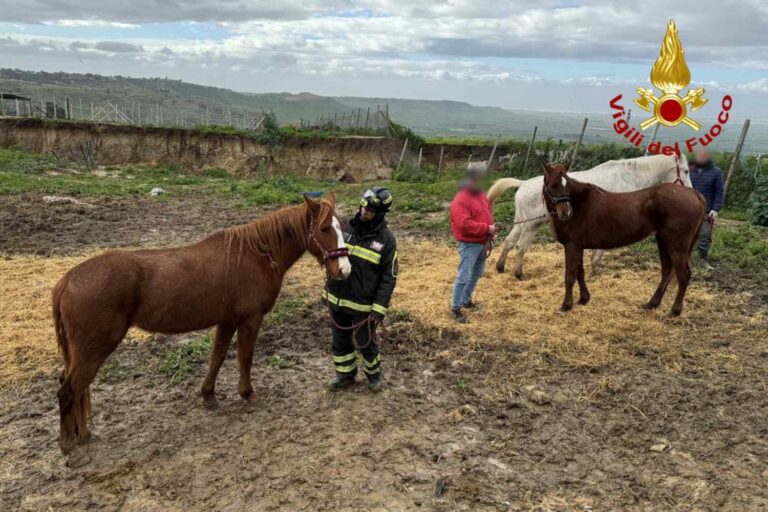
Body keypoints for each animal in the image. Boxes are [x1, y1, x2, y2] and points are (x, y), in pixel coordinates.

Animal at [52, 193, 351, 454]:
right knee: (68, 391)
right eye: (324, 228)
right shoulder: (250, 319)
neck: (255, 254)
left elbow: (217, 357)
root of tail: (68, 280)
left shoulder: (227, 321)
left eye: (342, 227)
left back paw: (82, 435)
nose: (344, 270)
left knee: (75, 389)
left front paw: (209, 395)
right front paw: (247, 394)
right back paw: (68, 446)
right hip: (94, 350)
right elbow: (245, 357)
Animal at [488, 154, 692, 280]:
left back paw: (500, 267)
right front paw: (596, 270)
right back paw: (519, 273)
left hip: (522, 223)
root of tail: (522, 184)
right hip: (532, 226)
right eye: (686, 170)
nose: (690, 191)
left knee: (509, 241)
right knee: (520, 247)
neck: (628, 177)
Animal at [541, 162, 705, 316]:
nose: (566, 213)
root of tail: (694, 194)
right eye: (553, 185)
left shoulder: (571, 245)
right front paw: (583, 299)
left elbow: (570, 275)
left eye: (567, 185)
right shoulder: (578, 246)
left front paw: (566, 305)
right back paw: (652, 303)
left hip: (676, 244)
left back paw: (675, 311)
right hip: (663, 241)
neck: (579, 204)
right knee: (667, 272)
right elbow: (579, 272)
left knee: (683, 274)